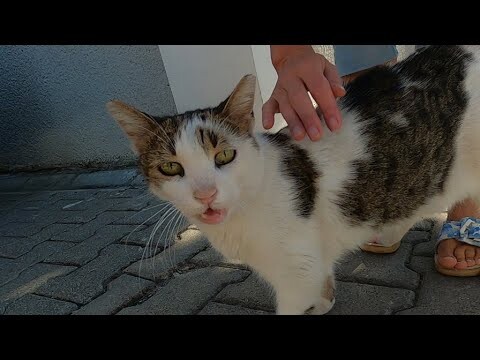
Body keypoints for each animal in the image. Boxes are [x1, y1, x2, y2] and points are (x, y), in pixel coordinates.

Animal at [107, 45, 480, 316]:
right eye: (171, 167)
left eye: (224, 156)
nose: (205, 193)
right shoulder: (308, 266)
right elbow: (321, 285)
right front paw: (324, 302)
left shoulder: (295, 275)